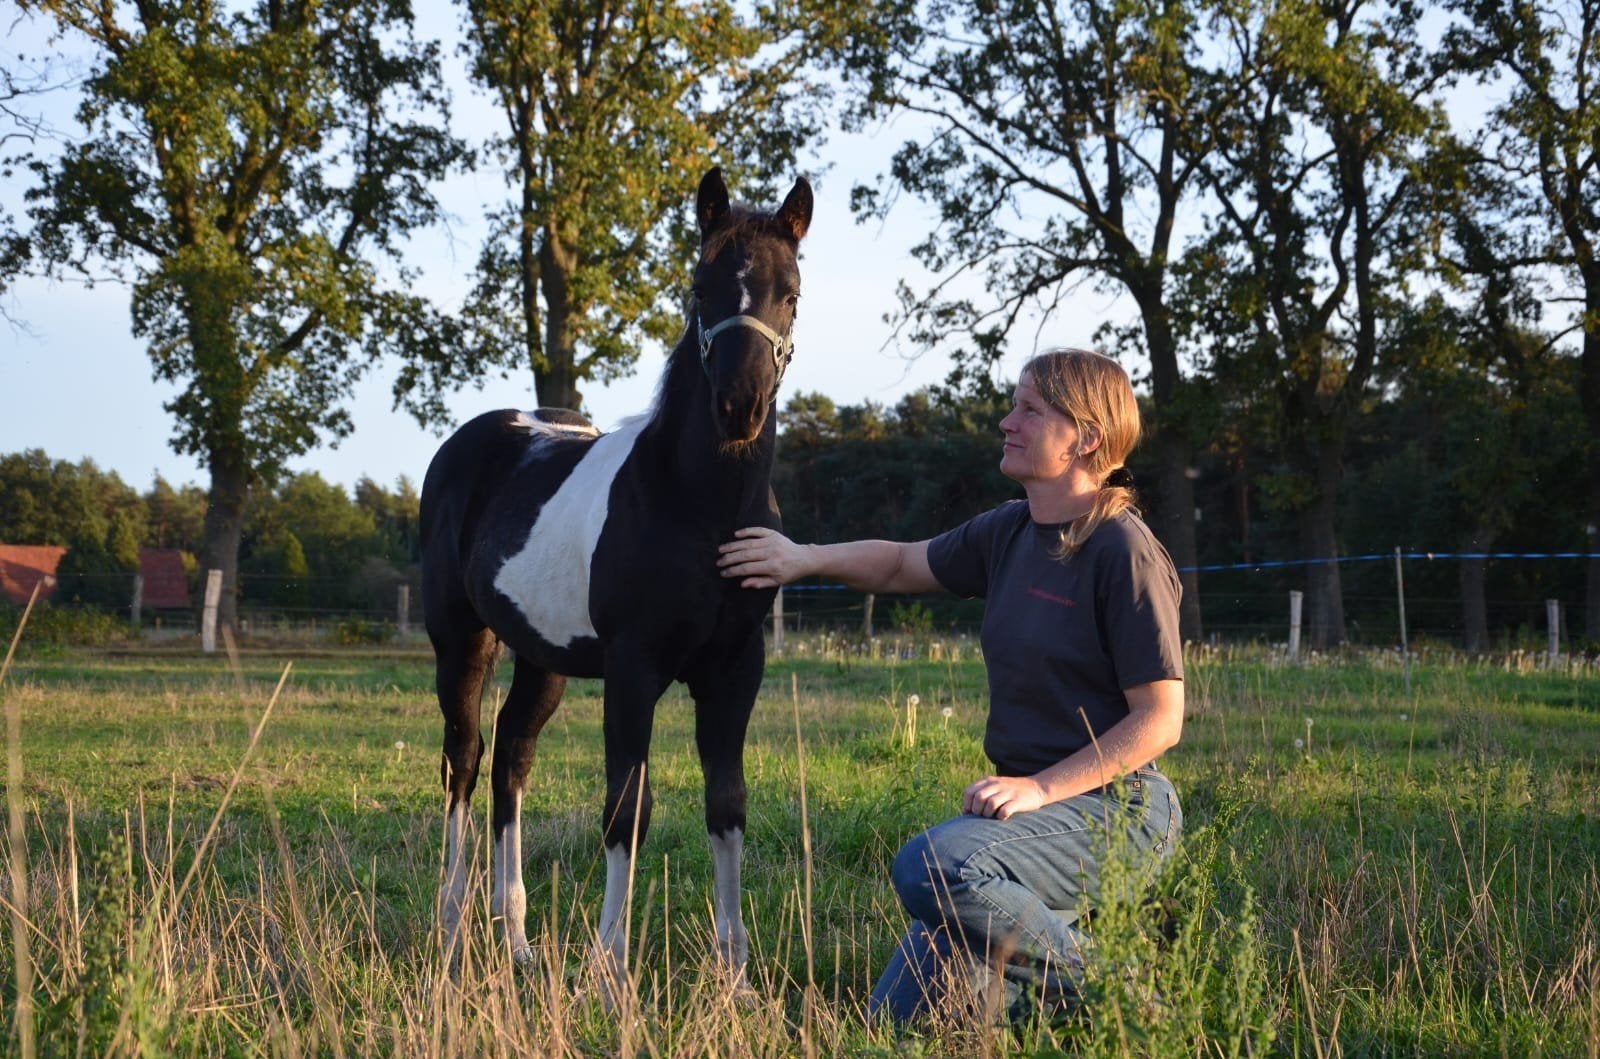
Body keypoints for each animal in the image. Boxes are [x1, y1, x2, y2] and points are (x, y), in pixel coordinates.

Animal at [420, 167, 811, 991]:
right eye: (700, 287)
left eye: (790, 292)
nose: (739, 406)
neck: (697, 506)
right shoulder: (634, 669)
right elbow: (628, 805)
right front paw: (610, 973)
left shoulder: (737, 669)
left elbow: (727, 803)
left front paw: (736, 978)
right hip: (461, 642)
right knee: (463, 760)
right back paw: (450, 929)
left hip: (542, 658)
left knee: (512, 759)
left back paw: (517, 943)